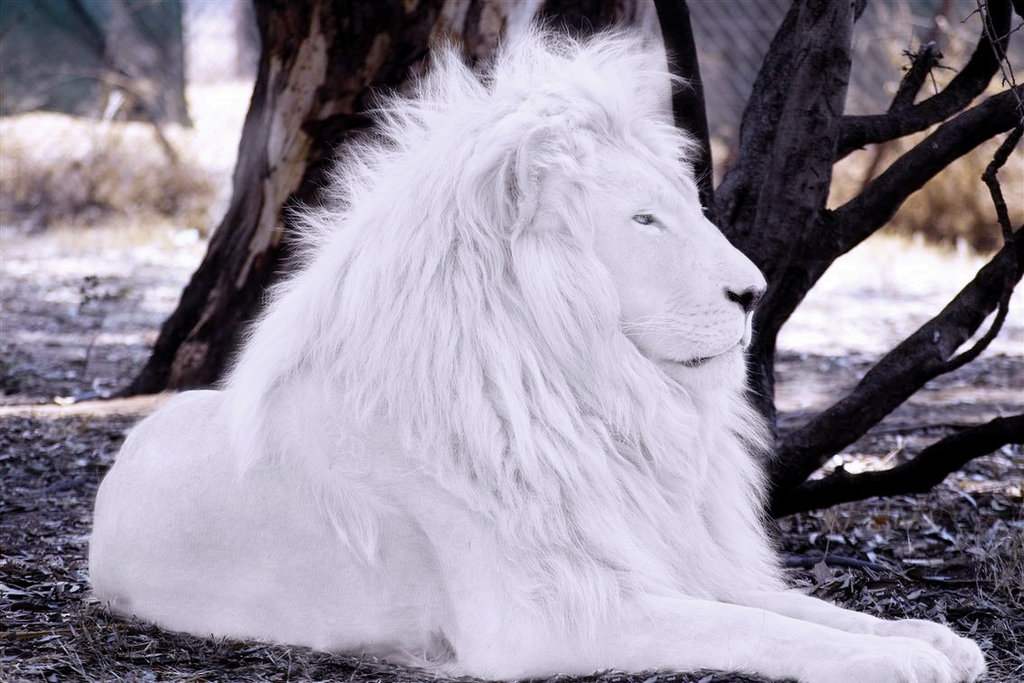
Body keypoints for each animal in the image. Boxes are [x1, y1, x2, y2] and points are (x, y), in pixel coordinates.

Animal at [90, 29, 985, 683]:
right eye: (644, 220)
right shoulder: (546, 616)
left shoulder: (670, 554)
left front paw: (931, 636)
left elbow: (790, 607)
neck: (589, 395)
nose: (754, 291)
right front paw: (895, 658)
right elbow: (754, 629)